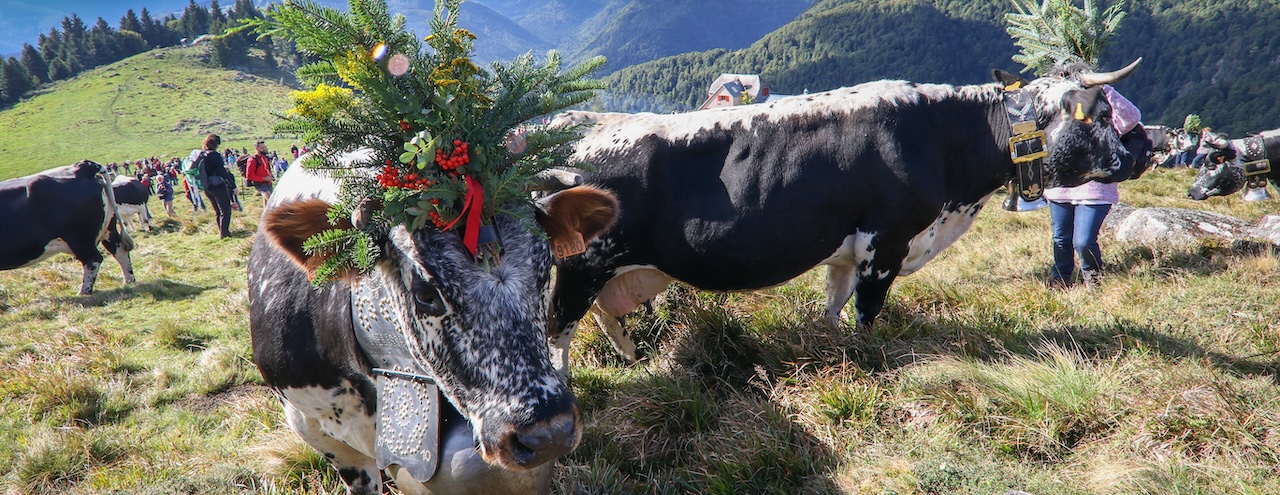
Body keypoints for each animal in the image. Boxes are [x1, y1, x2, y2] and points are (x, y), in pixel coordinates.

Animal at [0, 161, 135, 294]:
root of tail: (83, 166)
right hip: (108, 230)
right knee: (120, 250)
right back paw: (128, 280)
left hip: (79, 237)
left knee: (93, 259)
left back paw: (84, 292)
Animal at [547, 60, 1141, 370]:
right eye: (1102, 113)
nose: (1138, 154)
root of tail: (566, 125)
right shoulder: (889, 241)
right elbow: (867, 312)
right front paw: (868, 358)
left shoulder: (845, 251)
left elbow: (833, 307)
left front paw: (834, 353)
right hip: (579, 267)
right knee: (556, 333)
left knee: (603, 316)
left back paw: (632, 356)